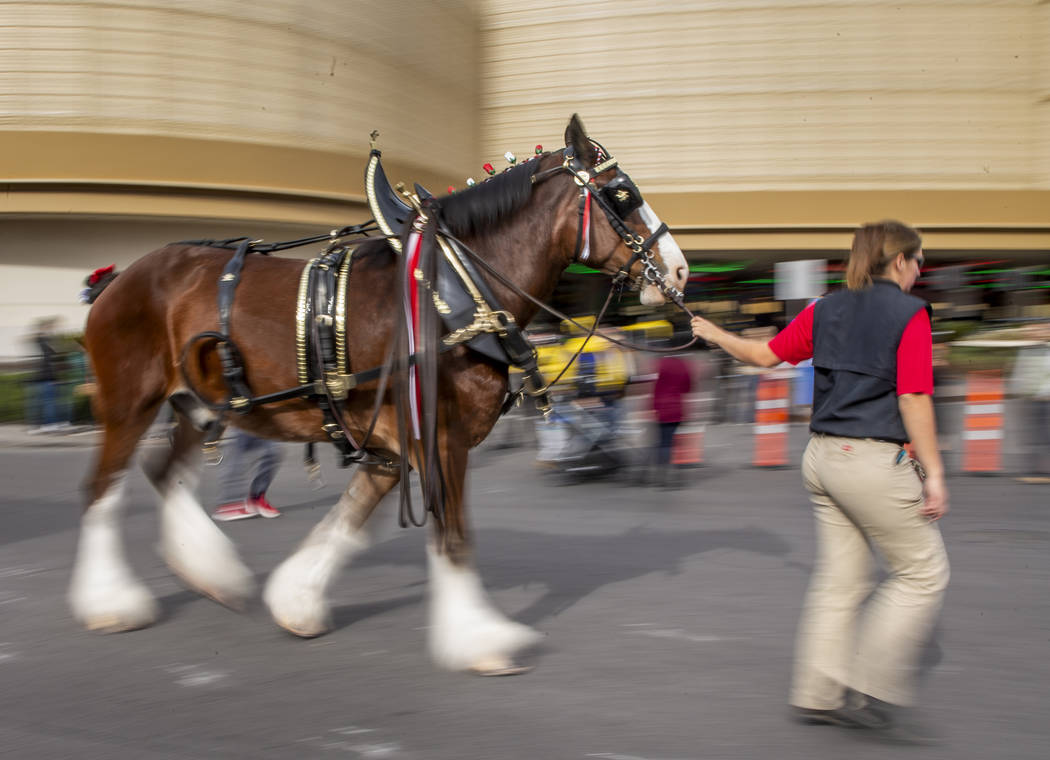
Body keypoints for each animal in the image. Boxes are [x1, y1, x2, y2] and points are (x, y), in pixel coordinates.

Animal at [65, 112, 688, 671]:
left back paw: (213, 573)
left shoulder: (392, 445)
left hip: (198, 407)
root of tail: (117, 280)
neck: (452, 289)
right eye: (623, 194)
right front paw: (481, 640)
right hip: (130, 402)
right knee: (103, 488)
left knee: (164, 473)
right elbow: (454, 535)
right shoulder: (438, 437)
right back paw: (111, 602)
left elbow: (351, 521)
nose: (680, 271)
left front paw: (297, 602)